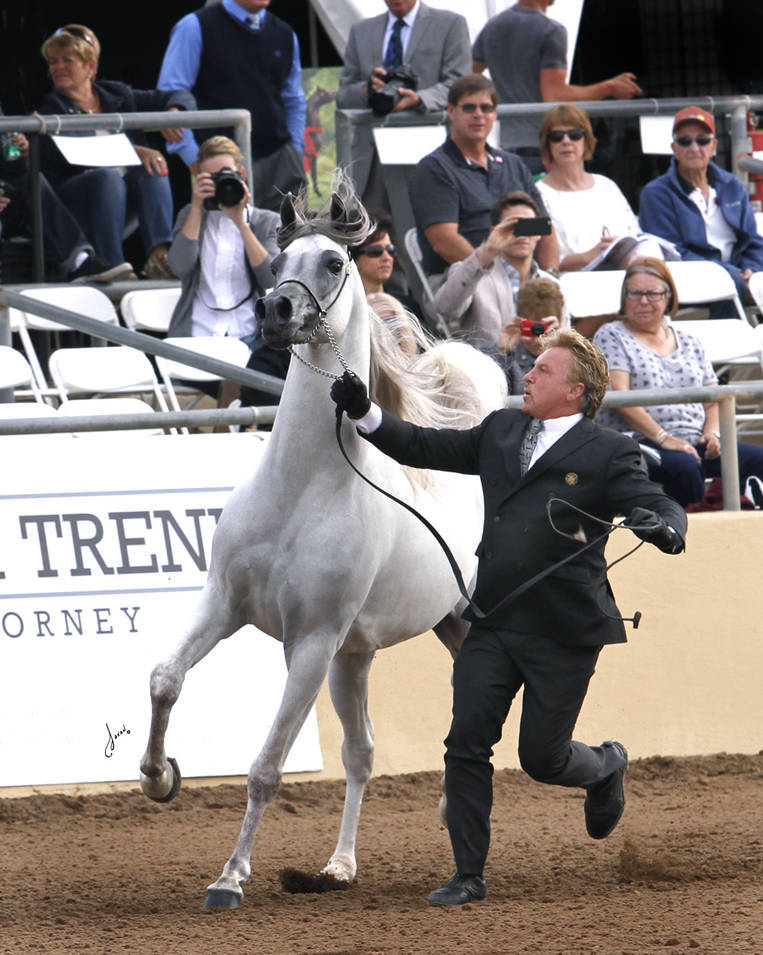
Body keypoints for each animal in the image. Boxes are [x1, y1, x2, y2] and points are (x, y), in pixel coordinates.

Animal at [139, 181, 508, 912]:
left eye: (334, 262)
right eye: (279, 258)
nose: (273, 310)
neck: (300, 487)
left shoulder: (307, 642)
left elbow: (266, 766)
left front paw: (229, 878)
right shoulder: (224, 605)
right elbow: (166, 678)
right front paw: (159, 775)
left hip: (425, 635)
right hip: (360, 655)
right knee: (361, 752)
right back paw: (339, 866)